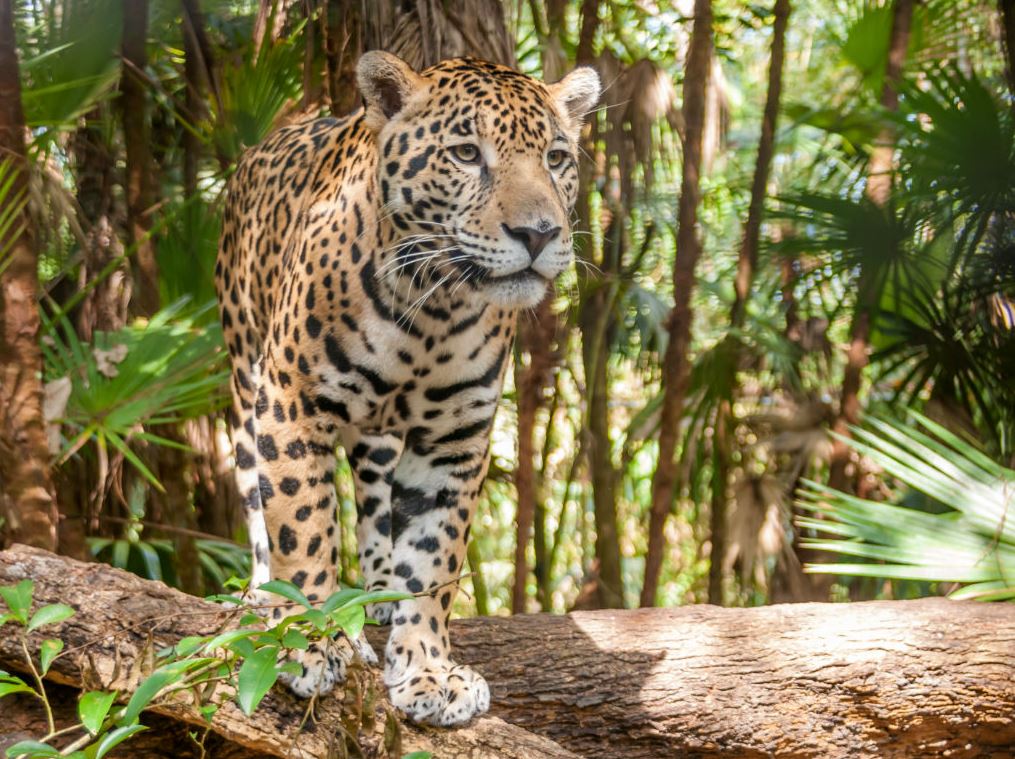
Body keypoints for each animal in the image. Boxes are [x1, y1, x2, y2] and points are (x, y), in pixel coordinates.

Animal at [215, 50, 600, 727]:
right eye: (467, 153)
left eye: (556, 158)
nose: (539, 234)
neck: (434, 310)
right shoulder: (291, 404)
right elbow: (303, 525)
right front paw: (309, 642)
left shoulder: (455, 439)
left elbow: (433, 553)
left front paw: (428, 668)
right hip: (244, 381)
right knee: (259, 504)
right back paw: (264, 597)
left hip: (378, 436)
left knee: (372, 500)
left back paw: (376, 595)